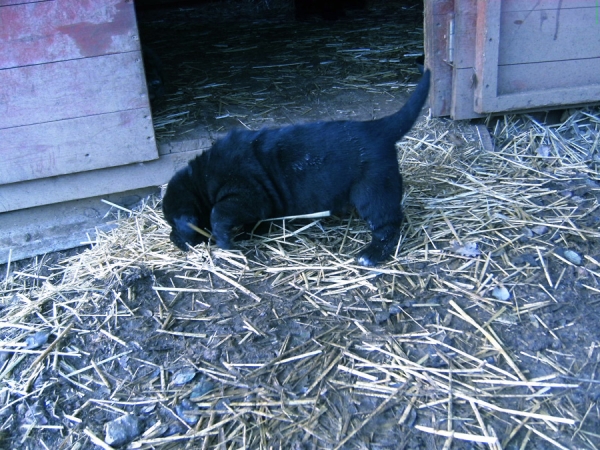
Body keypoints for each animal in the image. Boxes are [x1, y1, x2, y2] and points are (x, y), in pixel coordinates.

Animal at [162, 70, 428, 266]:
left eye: (173, 224)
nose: (172, 239)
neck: (202, 180)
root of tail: (378, 129)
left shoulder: (243, 195)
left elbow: (219, 213)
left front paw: (224, 241)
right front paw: (246, 233)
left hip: (374, 190)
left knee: (386, 225)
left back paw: (371, 254)